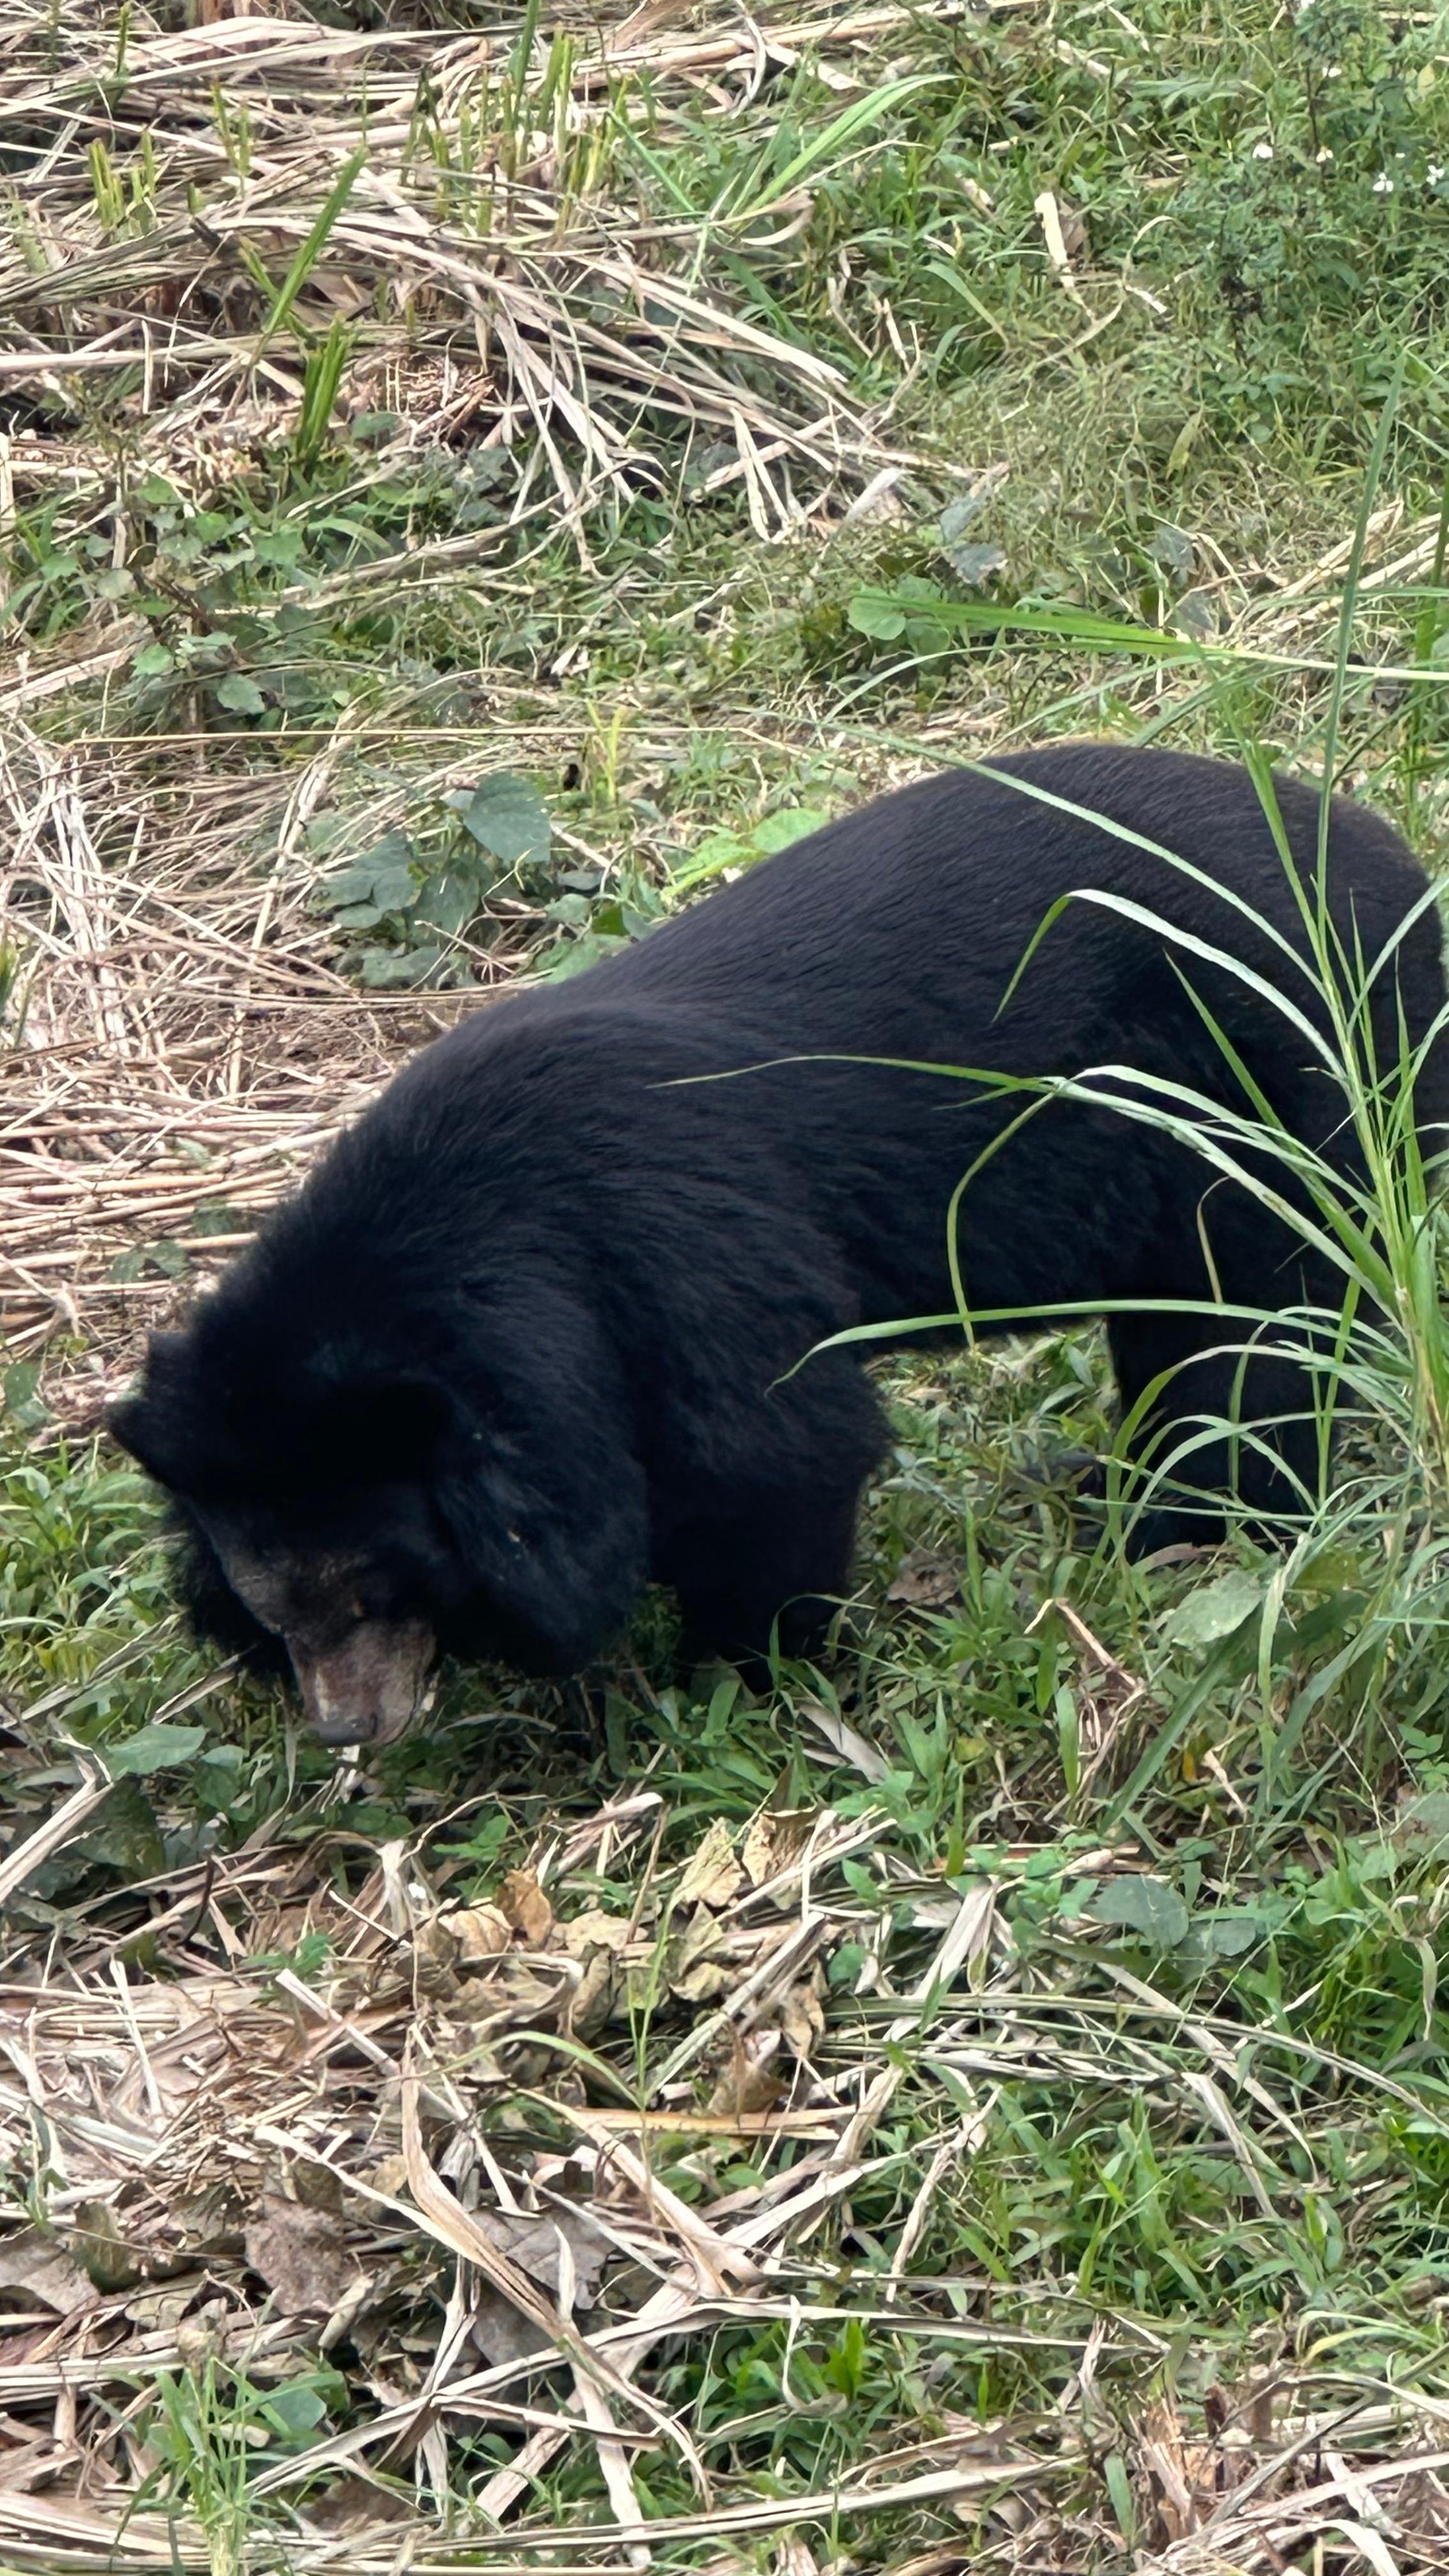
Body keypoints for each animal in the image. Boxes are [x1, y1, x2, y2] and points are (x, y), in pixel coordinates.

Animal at [108, 743, 1449, 1748]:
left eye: (372, 1586)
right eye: (271, 1610)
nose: (349, 1725)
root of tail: (1401, 874)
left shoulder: (670, 1252)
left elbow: (773, 1455)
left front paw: (740, 1676)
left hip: (1282, 1087)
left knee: (1258, 1326)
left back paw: (1192, 1525)